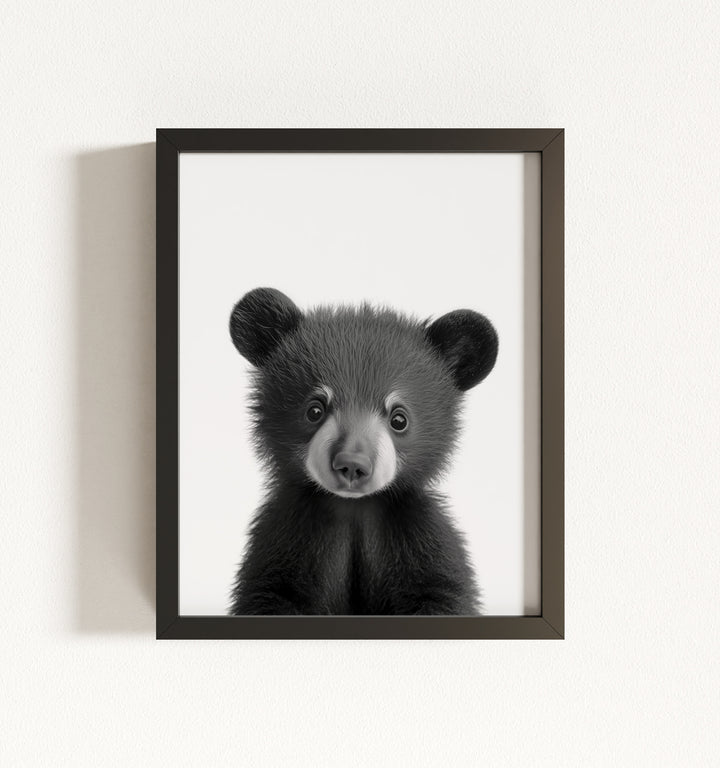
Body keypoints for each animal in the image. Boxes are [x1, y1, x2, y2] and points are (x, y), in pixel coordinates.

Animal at [228, 287, 498, 615]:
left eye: (399, 419)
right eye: (314, 410)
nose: (352, 465)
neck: (354, 508)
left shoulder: (415, 533)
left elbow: (441, 590)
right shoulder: (288, 536)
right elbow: (272, 591)